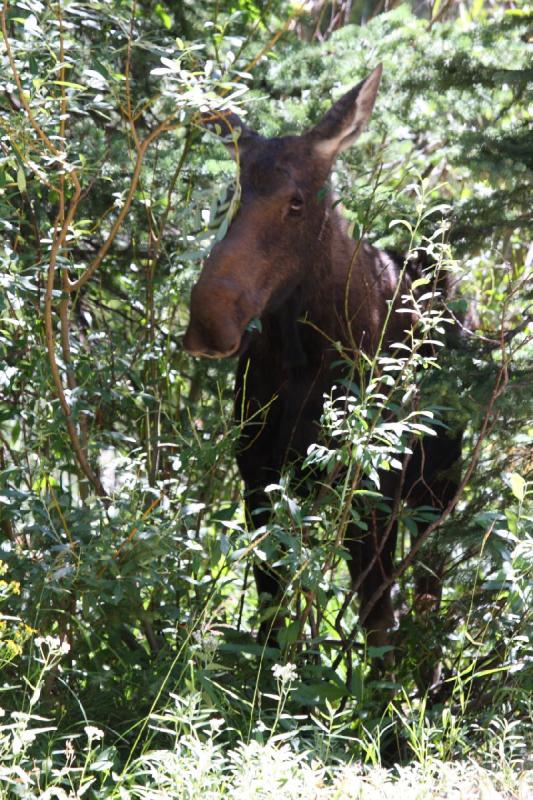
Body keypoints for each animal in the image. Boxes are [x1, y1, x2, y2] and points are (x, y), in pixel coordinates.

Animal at [184, 67, 462, 664]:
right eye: (231, 192)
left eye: (296, 202)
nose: (209, 323)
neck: (303, 353)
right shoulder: (258, 473)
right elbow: (270, 618)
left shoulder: (371, 486)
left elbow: (379, 625)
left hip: (436, 493)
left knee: (427, 600)